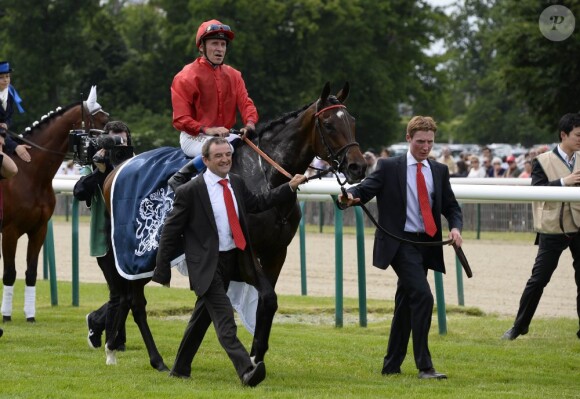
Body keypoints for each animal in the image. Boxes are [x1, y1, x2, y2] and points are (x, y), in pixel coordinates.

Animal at [0, 87, 109, 322]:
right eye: (103, 120)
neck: (30, 174)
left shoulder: (38, 230)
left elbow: (31, 272)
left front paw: (30, 315)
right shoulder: (10, 232)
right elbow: (10, 273)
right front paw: (6, 315)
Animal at [101, 82, 362, 372]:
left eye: (352, 121)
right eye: (328, 124)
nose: (358, 166)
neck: (266, 176)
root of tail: (116, 169)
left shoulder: (276, 252)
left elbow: (266, 302)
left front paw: (257, 355)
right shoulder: (246, 249)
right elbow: (266, 297)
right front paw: (252, 356)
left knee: (126, 298)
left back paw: (114, 349)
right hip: (137, 255)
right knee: (135, 301)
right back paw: (152, 359)